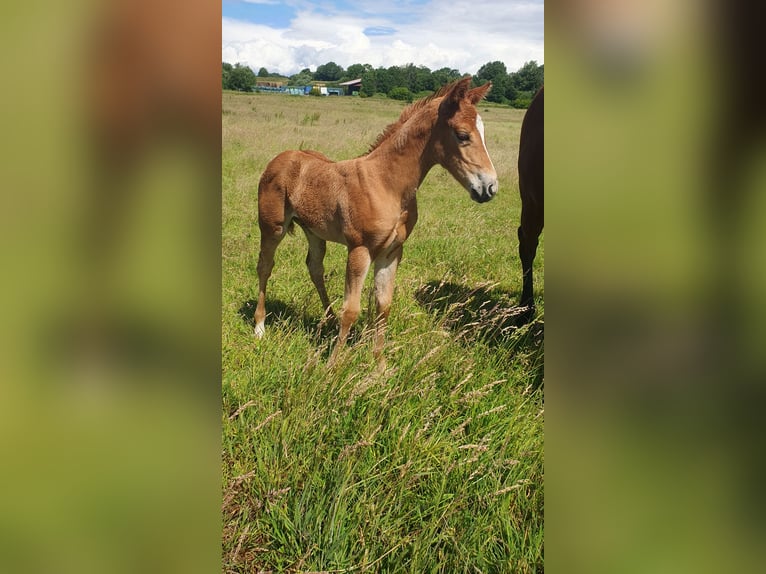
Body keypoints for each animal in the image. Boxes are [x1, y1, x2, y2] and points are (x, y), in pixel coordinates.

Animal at [254, 77, 498, 367]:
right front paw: (331, 367)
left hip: (314, 231)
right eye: (462, 135)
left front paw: (379, 365)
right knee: (265, 267)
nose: (489, 188)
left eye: (483, 133)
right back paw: (259, 327)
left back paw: (328, 320)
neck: (386, 183)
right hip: (272, 228)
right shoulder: (360, 249)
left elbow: (383, 306)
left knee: (314, 268)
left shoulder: (392, 252)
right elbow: (352, 309)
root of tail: (281, 157)